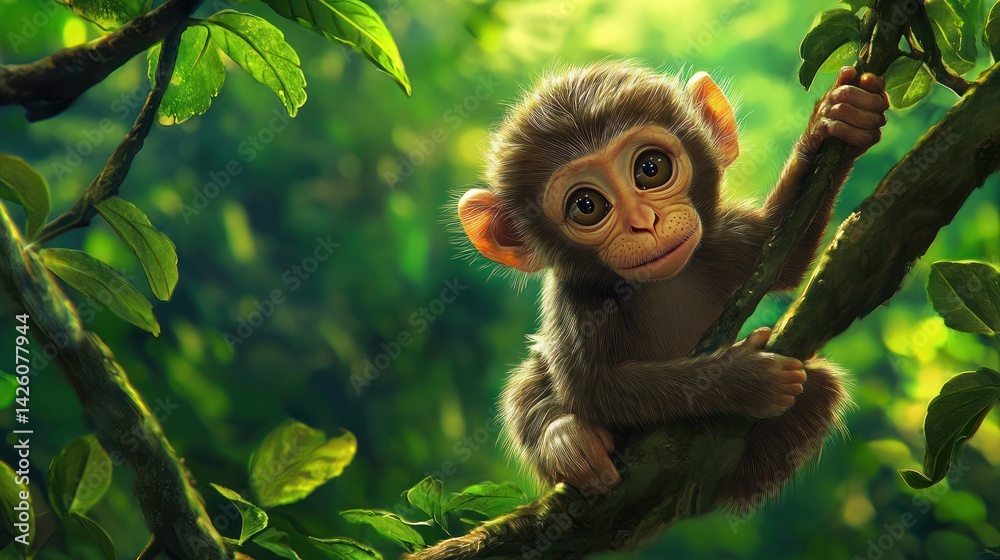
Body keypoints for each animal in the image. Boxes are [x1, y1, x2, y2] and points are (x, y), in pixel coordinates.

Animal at [456, 61, 888, 513]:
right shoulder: (577, 305)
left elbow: (785, 253)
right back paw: (569, 444)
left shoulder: (721, 241)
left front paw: (838, 118)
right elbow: (593, 389)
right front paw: (744, 378)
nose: (643, 222)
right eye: (586, 206)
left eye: (651, 168)